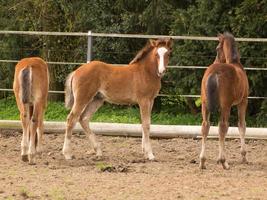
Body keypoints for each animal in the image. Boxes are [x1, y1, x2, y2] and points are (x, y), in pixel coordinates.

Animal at [200, 32, 250, 169]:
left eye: (217, 49)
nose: (215, 60)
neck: (235, 63)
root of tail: (215, 72)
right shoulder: (243, 101)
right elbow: (241, 125)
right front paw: (244, 156)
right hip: (226, 106)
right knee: (223, 126)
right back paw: (224, 162)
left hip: (205, 104)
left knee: (206, 126)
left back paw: (202, 161)